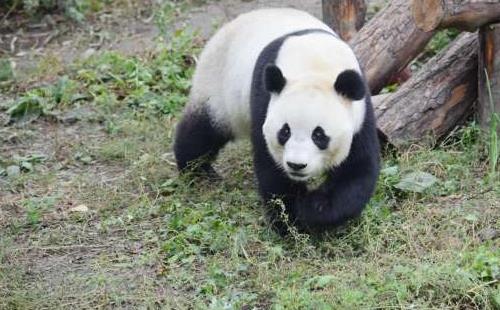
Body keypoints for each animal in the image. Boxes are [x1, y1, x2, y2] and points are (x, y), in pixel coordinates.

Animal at [174, 8, 380, 234]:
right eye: (285, 132)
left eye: (319, 135)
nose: (296, 165)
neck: (316, 65)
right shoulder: (265, 99)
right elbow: (272, 170)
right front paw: (290, 222)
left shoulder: (360, 113)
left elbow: (356, 170)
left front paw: (314, 210)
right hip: (217, 84)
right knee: (202, 131)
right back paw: (197, 171)